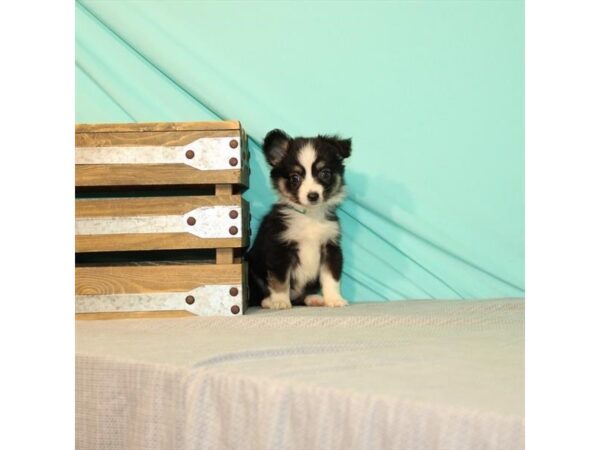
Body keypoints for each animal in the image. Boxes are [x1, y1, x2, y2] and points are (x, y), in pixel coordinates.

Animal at [246, 128, 352, 308]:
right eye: (295, 178)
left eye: (325, 173)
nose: (313, 196)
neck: (310, 216)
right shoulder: (279, 248)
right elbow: (280, 280)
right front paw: (280, 301)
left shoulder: (330, 248)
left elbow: (331, 277)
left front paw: (334, 299)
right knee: (256, 296)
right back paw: (268, 301)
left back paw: (313, 298)